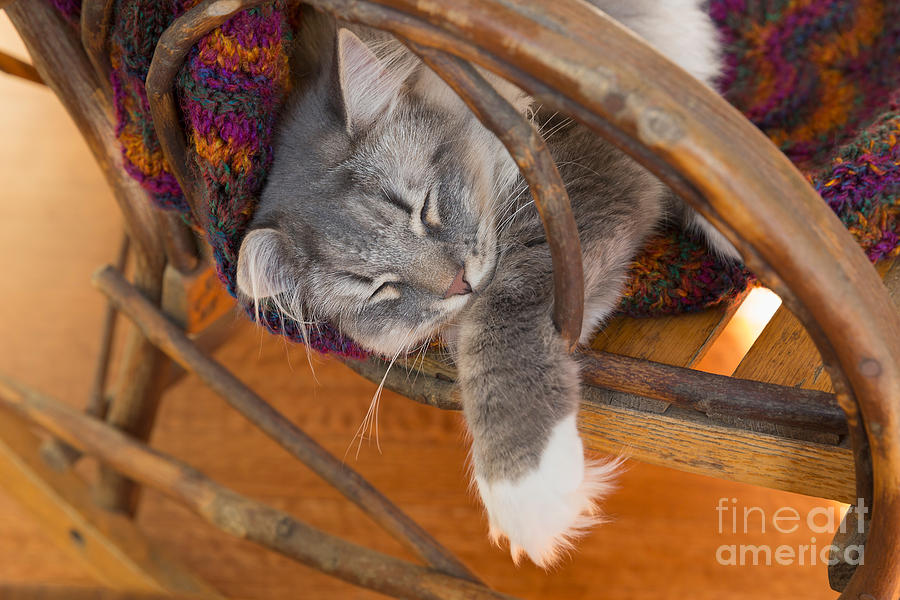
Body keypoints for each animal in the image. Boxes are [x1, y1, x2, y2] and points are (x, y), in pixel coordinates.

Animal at [236, 1, 736, 568]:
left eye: (423, 208)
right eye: (379, 288)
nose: (459, 284)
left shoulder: (573, 182)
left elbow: (498, 324)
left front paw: (527, 489)